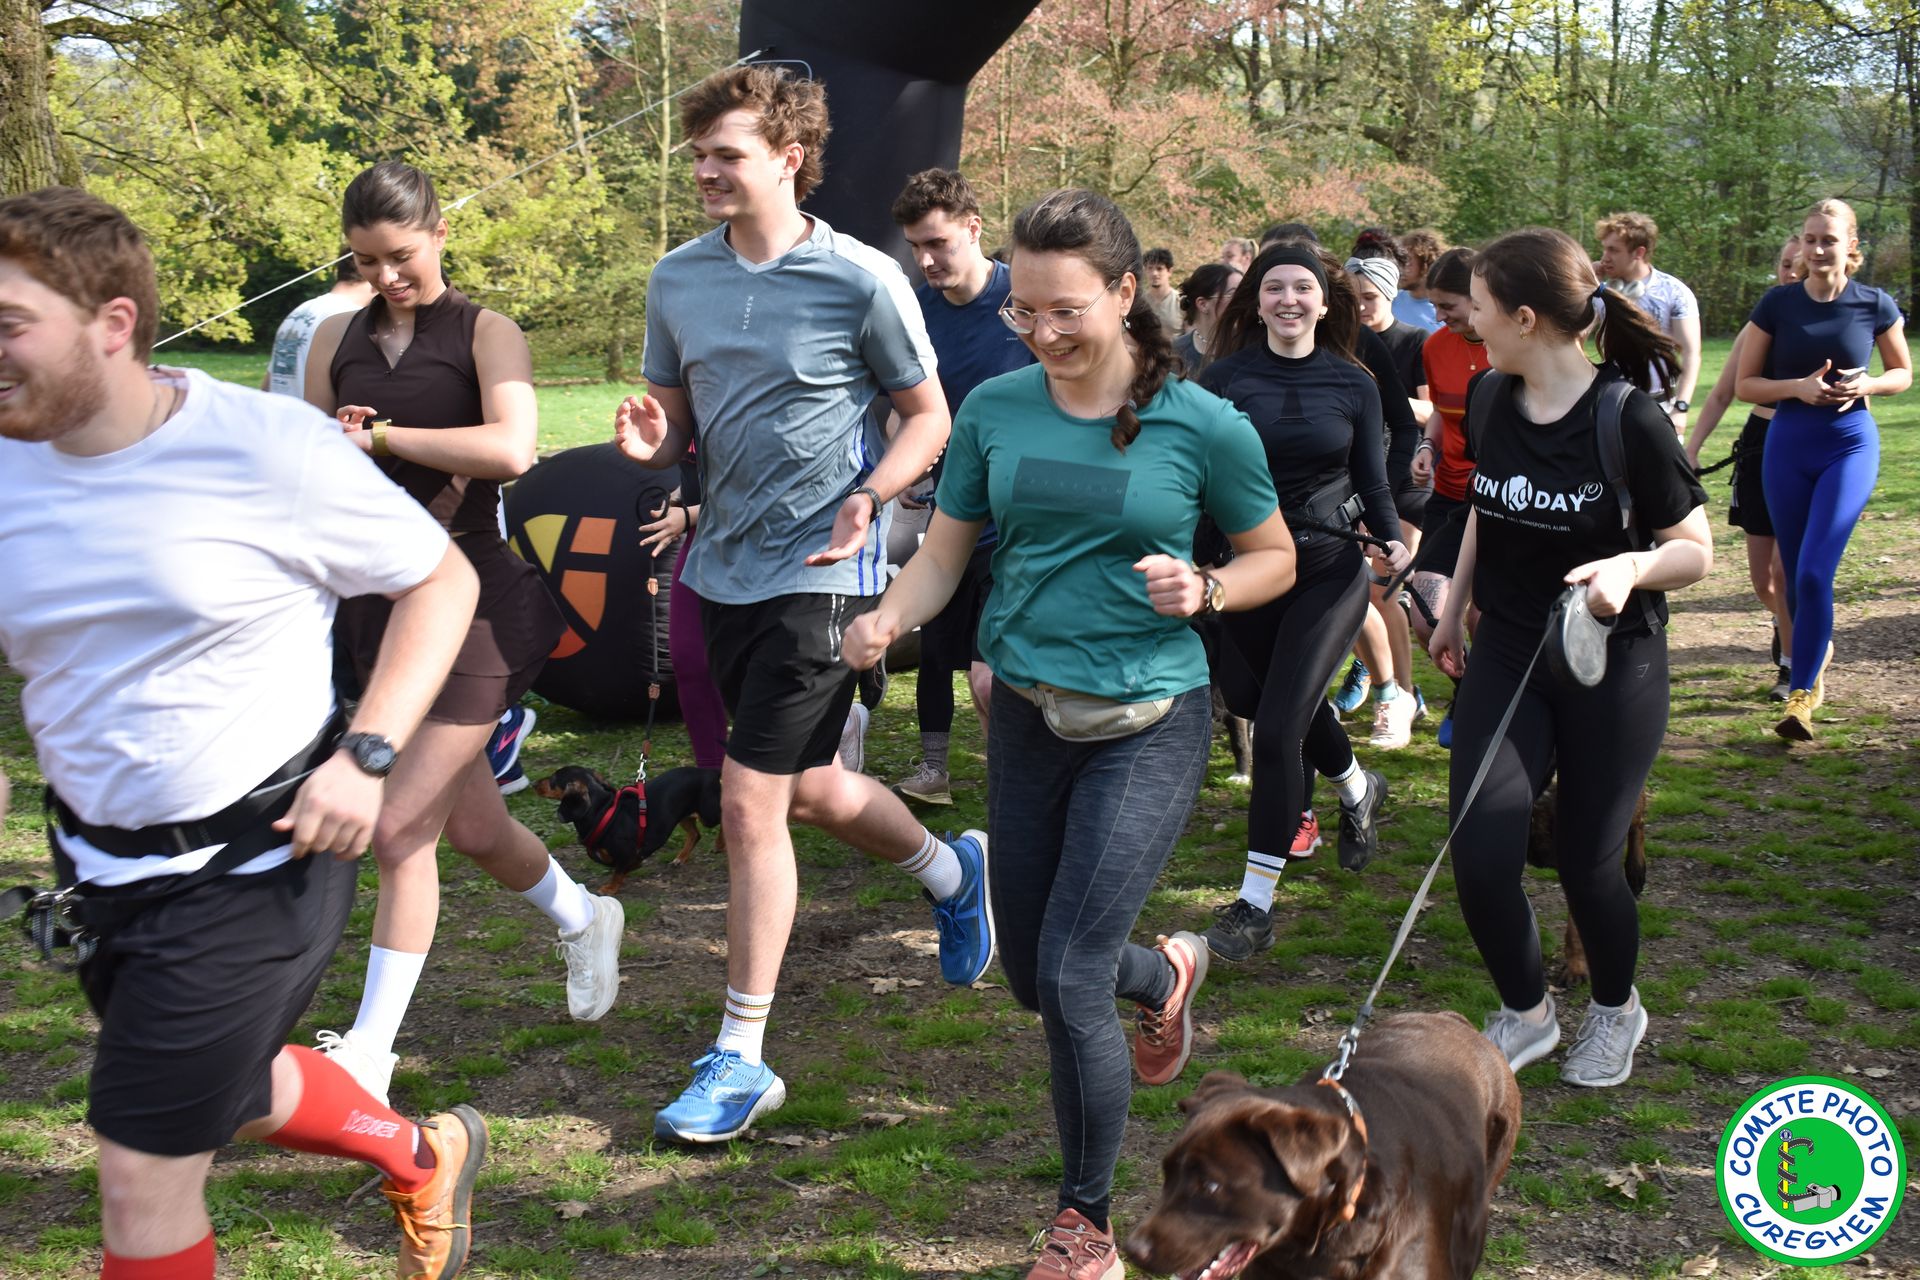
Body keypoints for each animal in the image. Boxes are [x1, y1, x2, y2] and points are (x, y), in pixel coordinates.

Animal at [533, 764, 723, 895]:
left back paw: (719, 844)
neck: (602, 811)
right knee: (695, 834)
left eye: (553, 779)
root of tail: (709, 772)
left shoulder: (626, 853)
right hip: (683, 815)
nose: (534, 783)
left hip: (708, 815)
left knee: (723, 818)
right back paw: (680, 858)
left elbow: (618, 870)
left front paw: (610, 888)